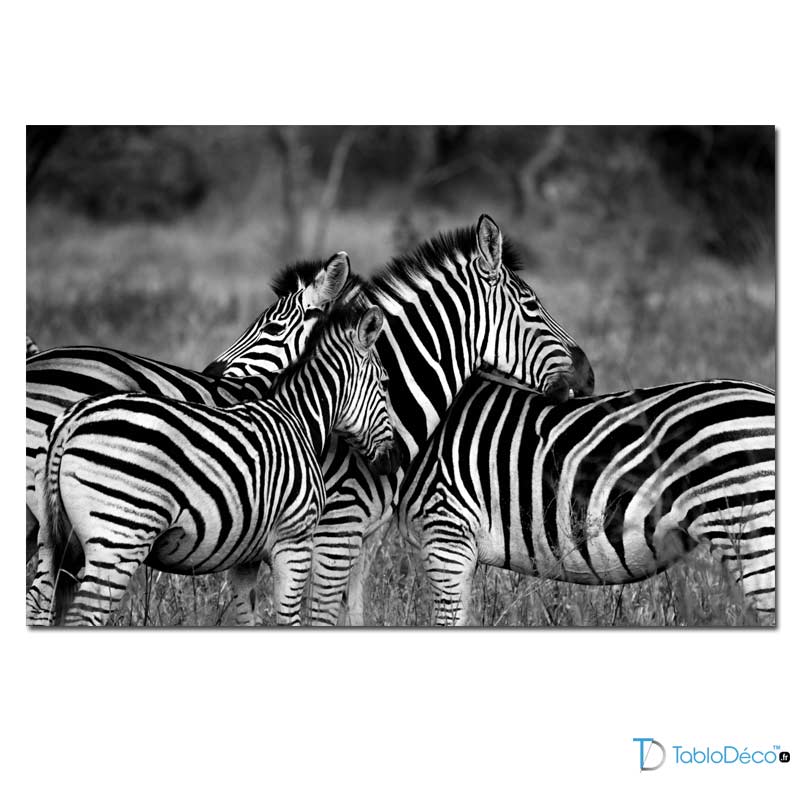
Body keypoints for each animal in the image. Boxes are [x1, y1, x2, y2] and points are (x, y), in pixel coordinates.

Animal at [30, 303, 397, 626]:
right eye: (384, 382)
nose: (393, 461)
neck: (298, 420)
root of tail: (72, 421)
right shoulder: (294, 539)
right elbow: (289, 618)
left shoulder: (246, 555)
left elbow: (248, 615)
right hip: (119, 538)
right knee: (83, 615)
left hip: (53, 539)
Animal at [209, 214, 596, 625]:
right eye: (532, 305)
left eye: (272, 328)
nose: (589, 376)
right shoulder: (334, 528)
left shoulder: (360, 535)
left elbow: (351, 612)